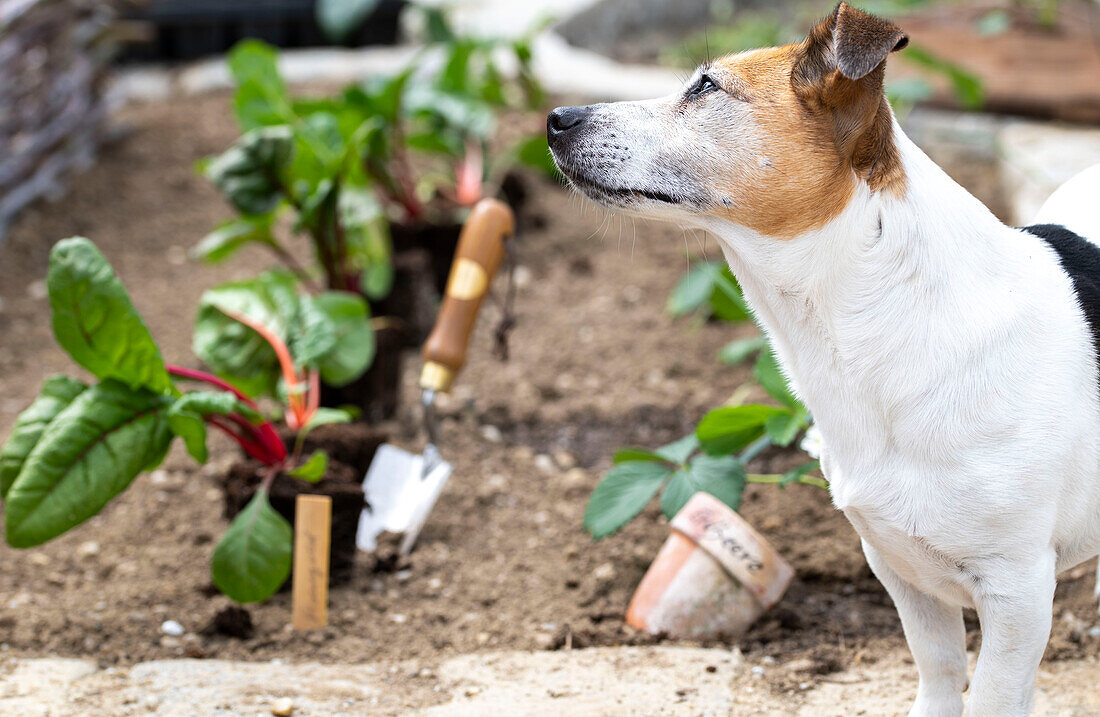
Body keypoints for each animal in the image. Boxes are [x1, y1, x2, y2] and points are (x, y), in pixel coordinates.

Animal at [550, 2, 1100, 712]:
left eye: (705, 88)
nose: (555, 118)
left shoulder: (1018, 593)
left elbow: (992, 695)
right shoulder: (896, 566)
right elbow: (940, 670)